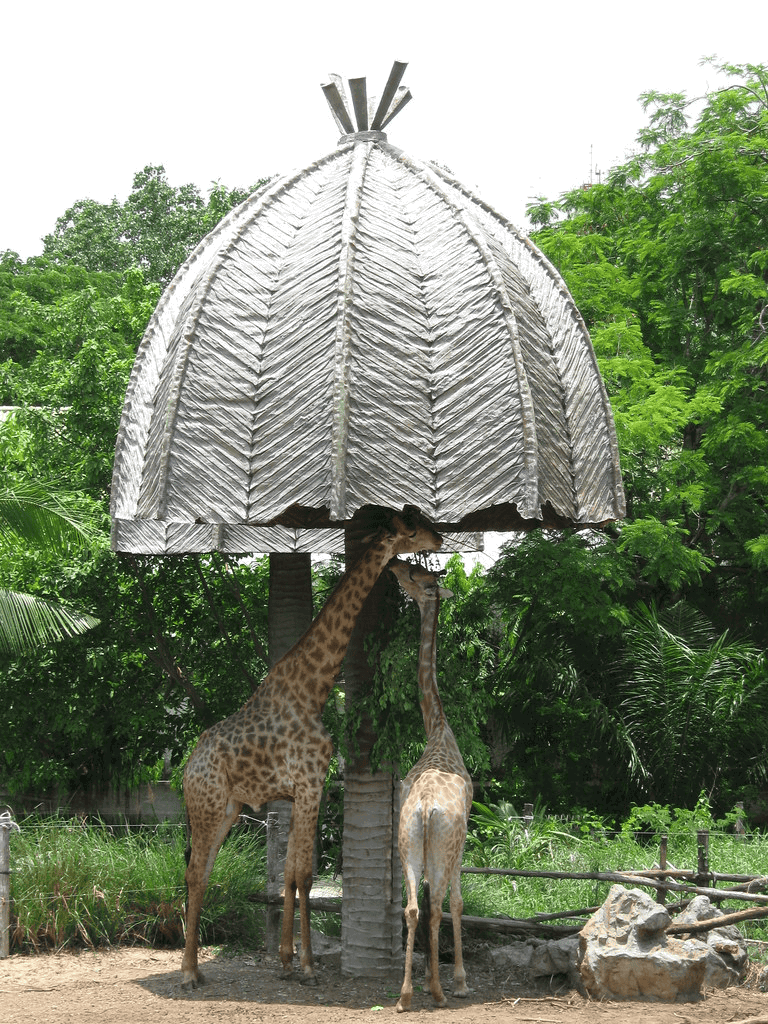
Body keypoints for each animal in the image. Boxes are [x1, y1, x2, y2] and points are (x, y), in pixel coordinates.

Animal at [181, 509, 442, 990]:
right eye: (411, 531)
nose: (438, 539)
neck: (314, 689)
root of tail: (186, 769)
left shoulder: (304, 789)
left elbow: (292, 872)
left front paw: (287, 960)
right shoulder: (308, 783)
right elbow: (303, 872)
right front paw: (305, 965)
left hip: (226, 808)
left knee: (203, 871)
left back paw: (196, 969)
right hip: (205, 805)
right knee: (195, 871)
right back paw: (188, 972)